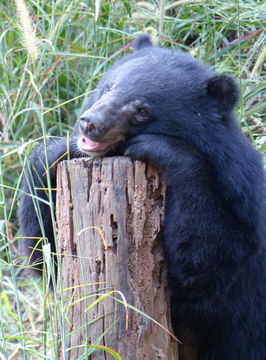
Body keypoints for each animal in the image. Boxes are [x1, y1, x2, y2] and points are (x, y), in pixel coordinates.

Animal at [18, 34, 264, 360]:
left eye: (142, 110)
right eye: (109, 87)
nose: (89, 123)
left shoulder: (239, 199)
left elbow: (207, 259)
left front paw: (157, 147)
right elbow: (45, 250)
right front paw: (61, 148)